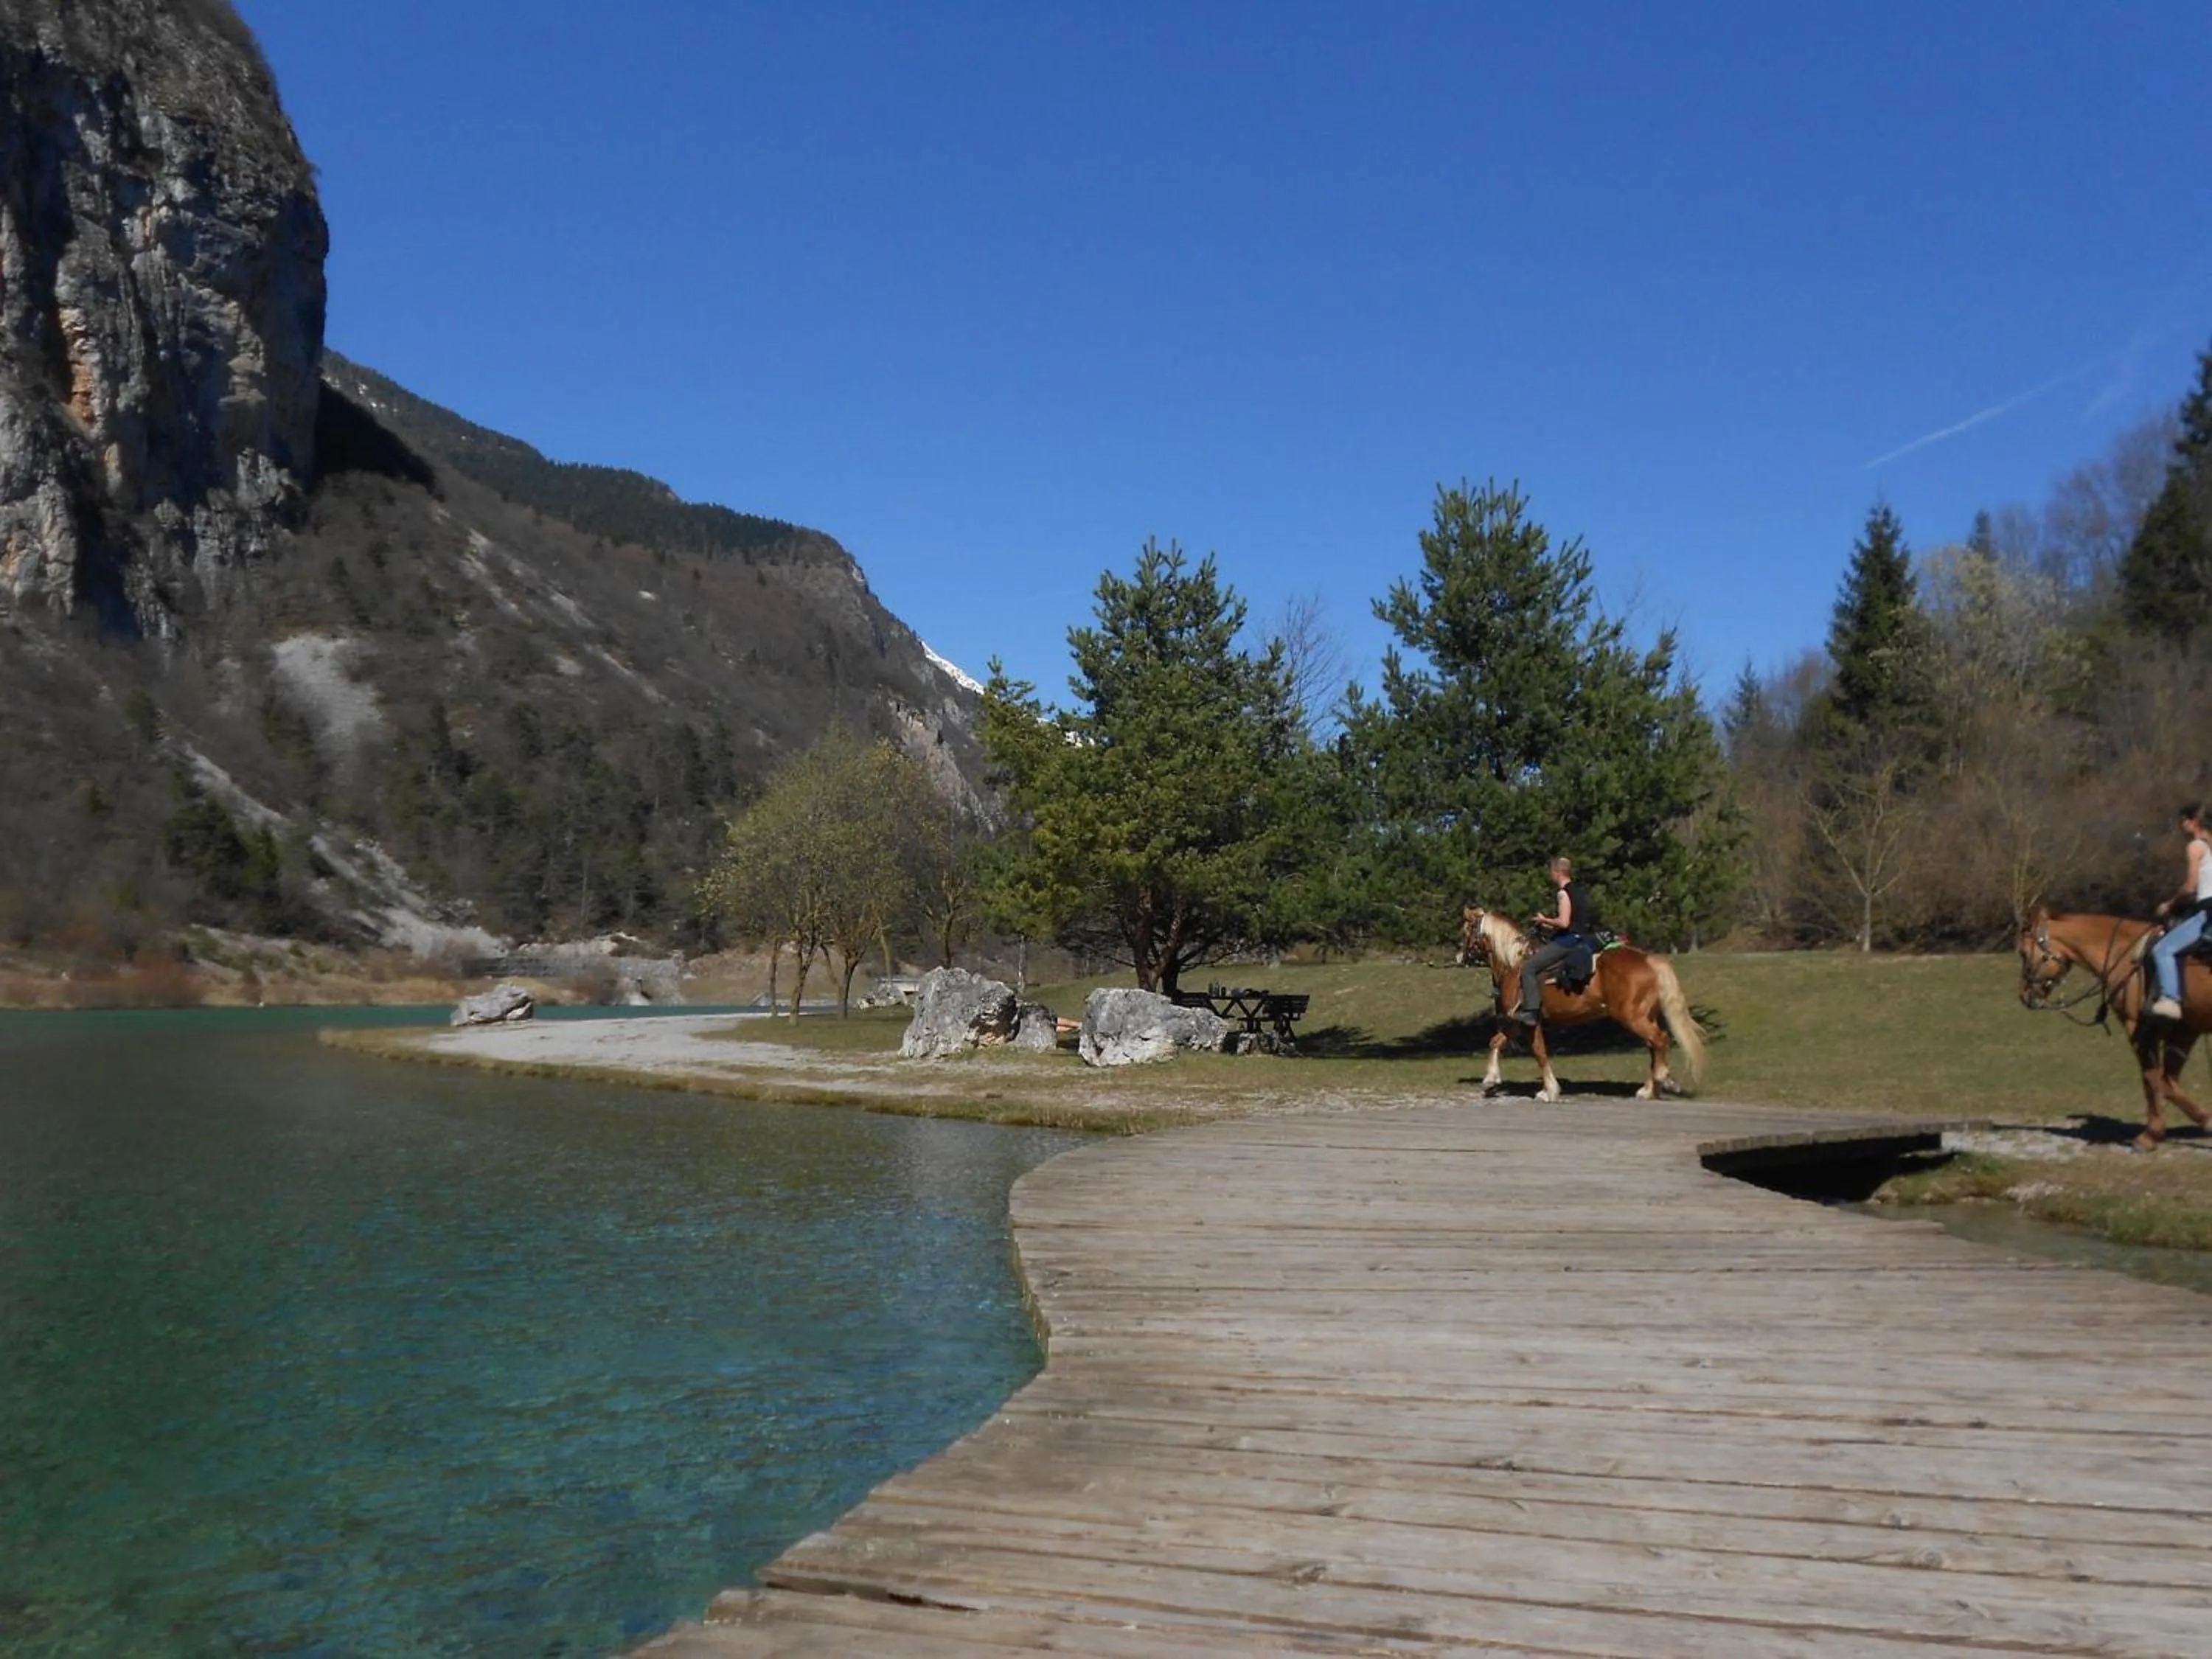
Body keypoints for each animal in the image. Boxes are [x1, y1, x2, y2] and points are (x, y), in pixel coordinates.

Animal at [1456, 906, 1706, 1103]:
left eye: (1465, 931)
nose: (1459, 956)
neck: (1514, 964)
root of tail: (1649, 960)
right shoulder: (1515, 1022)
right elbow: (1496, 1041)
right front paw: (1491, 1079)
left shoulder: (1528, 1021)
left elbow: (1539, 1052)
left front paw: (1549, 1091)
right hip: (1644, 1016)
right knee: (1653, 1045)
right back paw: (1649, 1089)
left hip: (1632, 1017)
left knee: (1660, 1040)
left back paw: (1662, 1079)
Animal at [2017, 903, 2212, 1149]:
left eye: (2024, 953)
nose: (2024, 996)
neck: (2126, 955)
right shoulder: (2185, 1030)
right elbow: (2166, 1081)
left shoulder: (2139, 1027)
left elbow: (2153, 1079)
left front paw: (2152, 1134)